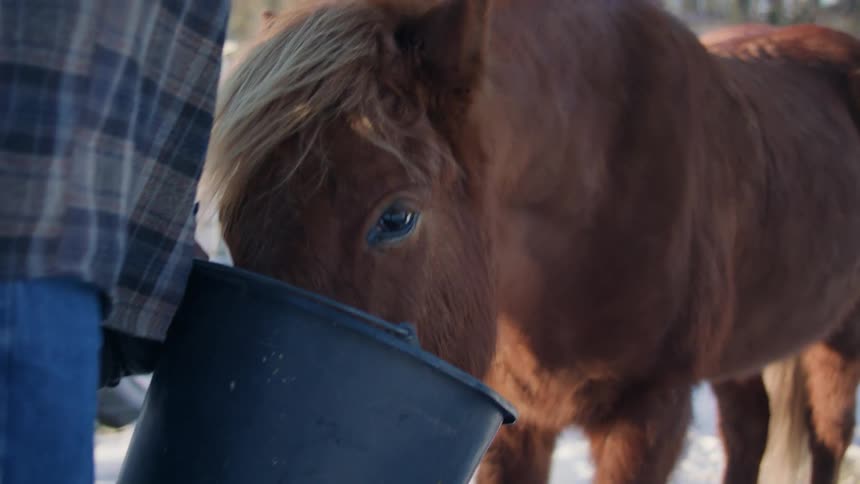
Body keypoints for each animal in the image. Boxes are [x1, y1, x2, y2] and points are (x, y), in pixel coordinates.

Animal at [201, 1, 860, 483]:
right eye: (230, 218)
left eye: (397, 218)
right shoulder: (517, 427)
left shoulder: (649, 416)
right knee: (750, 429)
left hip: (838, 347)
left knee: (825, 440)